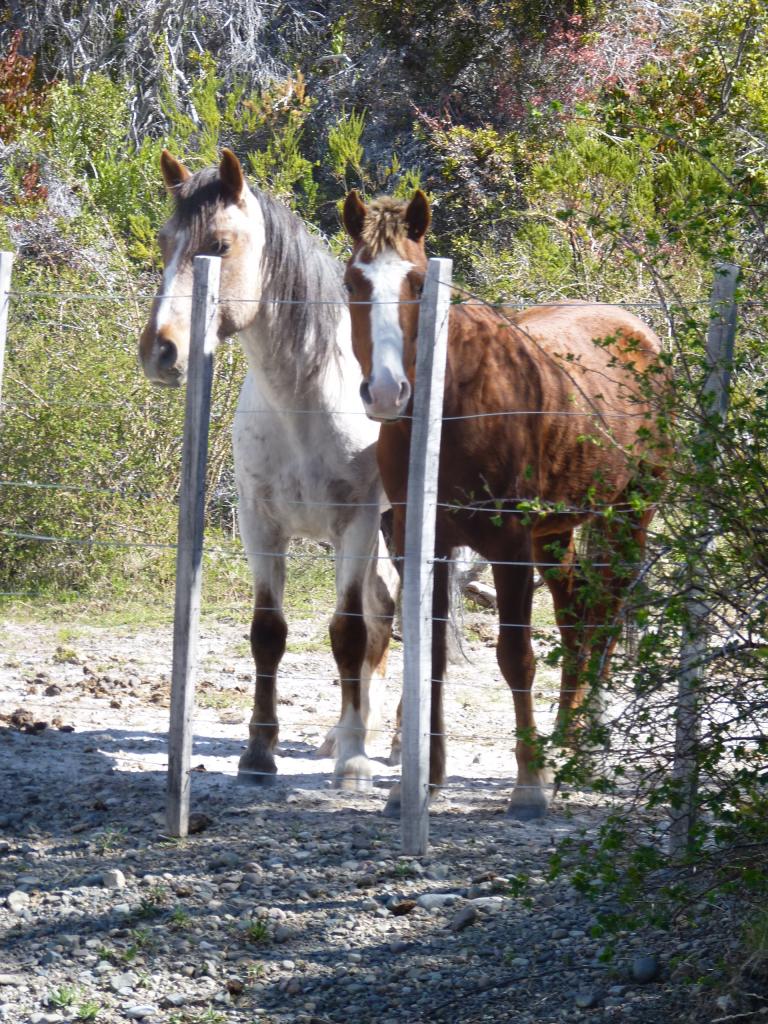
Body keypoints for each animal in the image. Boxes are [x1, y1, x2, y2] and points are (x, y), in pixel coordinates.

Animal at [139, 148, 399, 790]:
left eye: (220, 245)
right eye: (165, 241)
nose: (160, 351)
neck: (305, 401)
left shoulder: (355, 523)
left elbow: (346, 631)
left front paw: (353, 764)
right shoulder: (260, 526)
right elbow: (269, 633)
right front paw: (259, 753)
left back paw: (398, 743)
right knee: (384, 612)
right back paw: (346, 731)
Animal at [342, 190, 667, 815]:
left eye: (418, 281)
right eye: (352, 281)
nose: (387, 392)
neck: (450, 410)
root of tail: (640, 332)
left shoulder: (510, 546)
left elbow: (516, 657)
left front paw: (530, 783)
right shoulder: (422, 545)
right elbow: (432, 656)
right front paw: (425, 780)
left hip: (629, 513)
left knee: (608, 609)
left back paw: (589, 743)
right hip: (557, 533)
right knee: (575, 613)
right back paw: (566, 734)